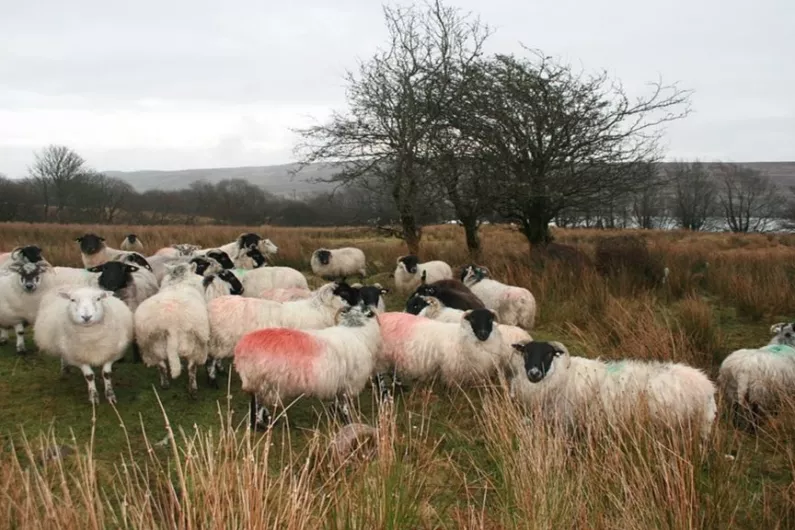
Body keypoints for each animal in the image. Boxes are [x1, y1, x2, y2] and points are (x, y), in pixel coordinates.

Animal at [135, 260, 213, 396]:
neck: (179, 282)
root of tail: (171, 322)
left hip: (153, 343)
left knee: (161, 365)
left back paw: (165, 384)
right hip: (194, 343)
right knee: (192, 367)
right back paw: (193, 389)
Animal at [205, 278, 358, 386]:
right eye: (346, 292)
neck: (321, 310)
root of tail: (212, 305)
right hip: (220, 340)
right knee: (211, 359)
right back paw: (213, 381)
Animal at [233, 300, 382, 426]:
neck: (357, 330)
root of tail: (242, 345)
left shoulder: (339, 383)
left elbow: (337, 403)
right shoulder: (349, 383)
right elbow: (345, 407)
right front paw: (349, 422)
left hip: (256, 380)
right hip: (263, 380)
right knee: (257, 403)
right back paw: (261, 424)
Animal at [510, 338, 720, 442]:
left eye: (549, 354)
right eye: (526, 352)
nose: (534, 373)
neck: (563, 375)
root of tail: (707, 385)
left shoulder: (567, 423)